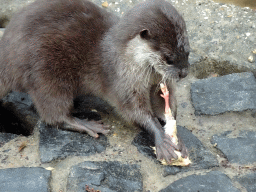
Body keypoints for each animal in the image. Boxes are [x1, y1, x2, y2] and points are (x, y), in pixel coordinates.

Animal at [0, 0, 190, 164]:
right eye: (168, 59)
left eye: (187, 52)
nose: (184, 73)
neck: (126, 57)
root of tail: (6, 58)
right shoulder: (124, 83)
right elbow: (135, 112)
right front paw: (162, 140)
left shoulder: (159, 82)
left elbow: (164, 107)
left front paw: (176, 137)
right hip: (46, 74)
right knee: (53, 114)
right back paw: (87, 125)